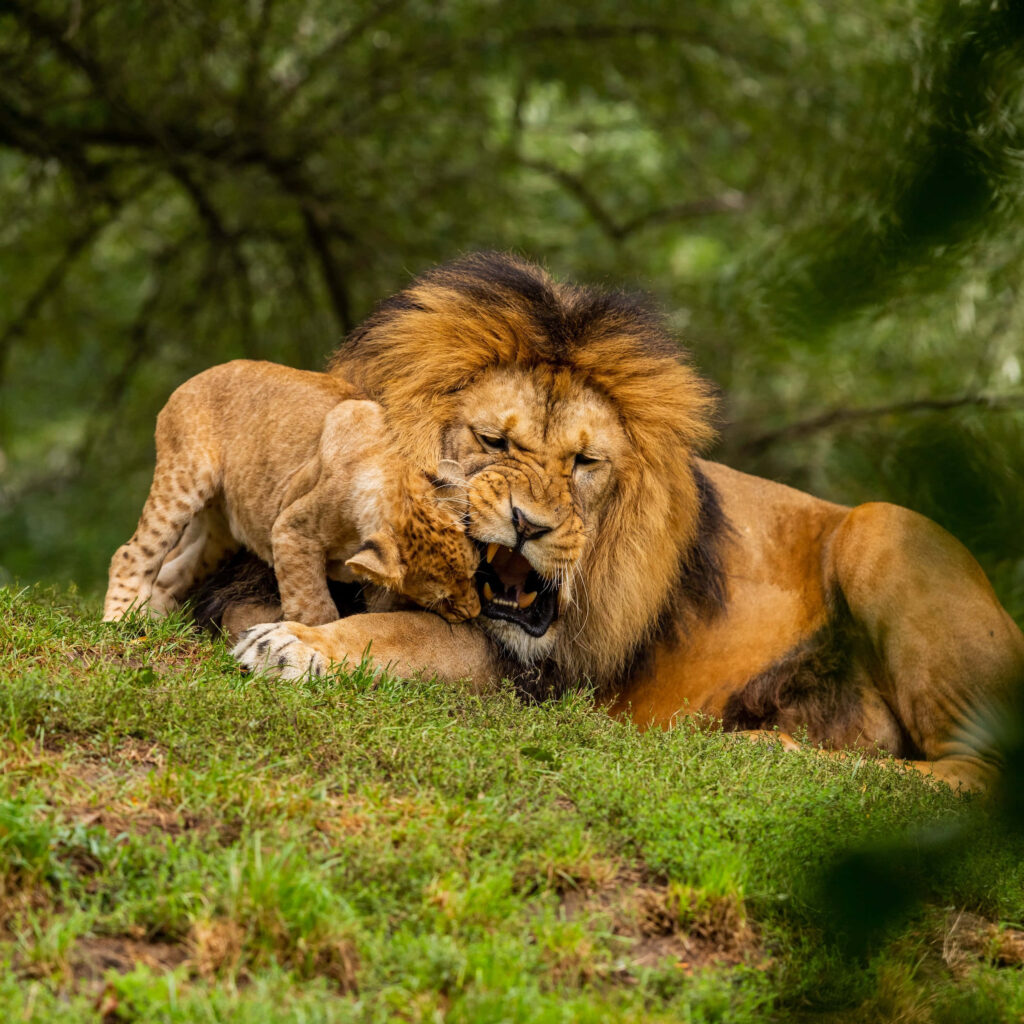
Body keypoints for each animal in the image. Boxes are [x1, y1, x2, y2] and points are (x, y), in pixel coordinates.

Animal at [104, 360, 479, 628]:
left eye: (475, 573)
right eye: (440, 601)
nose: (473, 615)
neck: (396, 485)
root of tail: (196, 377)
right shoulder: (291, 531)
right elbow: (313, 605)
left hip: (221, 532)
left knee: (172, 574)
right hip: (184, 478)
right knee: (132, 553)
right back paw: (120, 621)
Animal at [232, 253, 1024, 792]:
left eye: (585, 462)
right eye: (494, 442)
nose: (530, 526)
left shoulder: (532, 678)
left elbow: (399, 635)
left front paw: (296, 646)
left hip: (884, 528)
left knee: (976, 776)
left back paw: (768, 748)